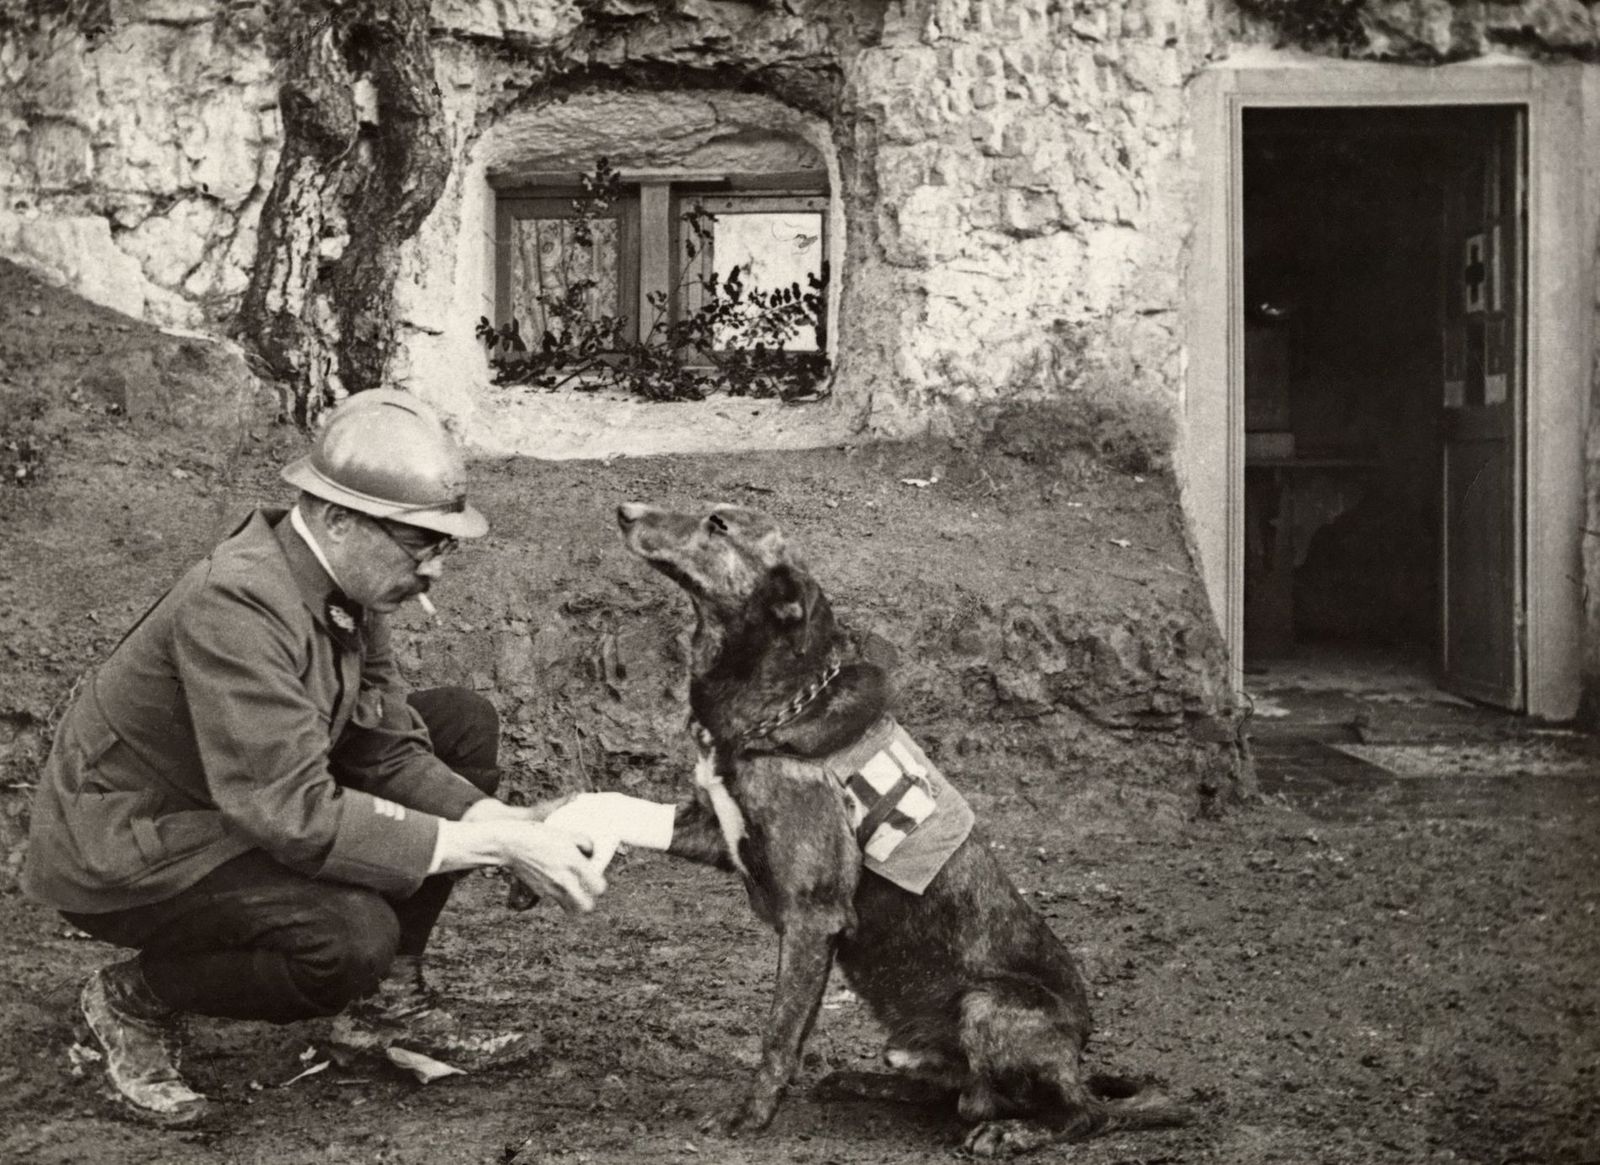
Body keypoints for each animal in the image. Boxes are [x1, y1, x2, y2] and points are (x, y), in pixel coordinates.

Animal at [617, 499, 1196, 1158]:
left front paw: (751, 1115)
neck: (774, 706)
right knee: (955, 1093)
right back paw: (866, 1083)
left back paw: (1013, 1131)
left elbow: (779, 1036)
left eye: (718, 525)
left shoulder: (813, 915)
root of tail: (1079, 1054)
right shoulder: (721, 835)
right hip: (917, 1046)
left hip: (987, 1005)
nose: (625, 510)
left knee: (1079, 1116)